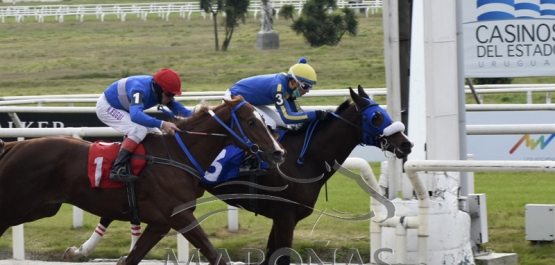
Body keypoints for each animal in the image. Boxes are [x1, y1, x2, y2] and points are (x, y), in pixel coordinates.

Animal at [0, 95, 286, 264]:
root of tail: (14, 146)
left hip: (41, 208)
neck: (178, 154)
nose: (278, 152)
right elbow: (215, 255)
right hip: (16, 204)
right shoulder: (180, 216)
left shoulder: (160, 223)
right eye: (251, 122)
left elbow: (131, 258)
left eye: (263, 119)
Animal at [64, 85, 412, 262]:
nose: (406, 143)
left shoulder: (280, 218)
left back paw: (83, 249)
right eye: (377, 117)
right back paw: (84, 249)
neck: (304, 158)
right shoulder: (285, 216)